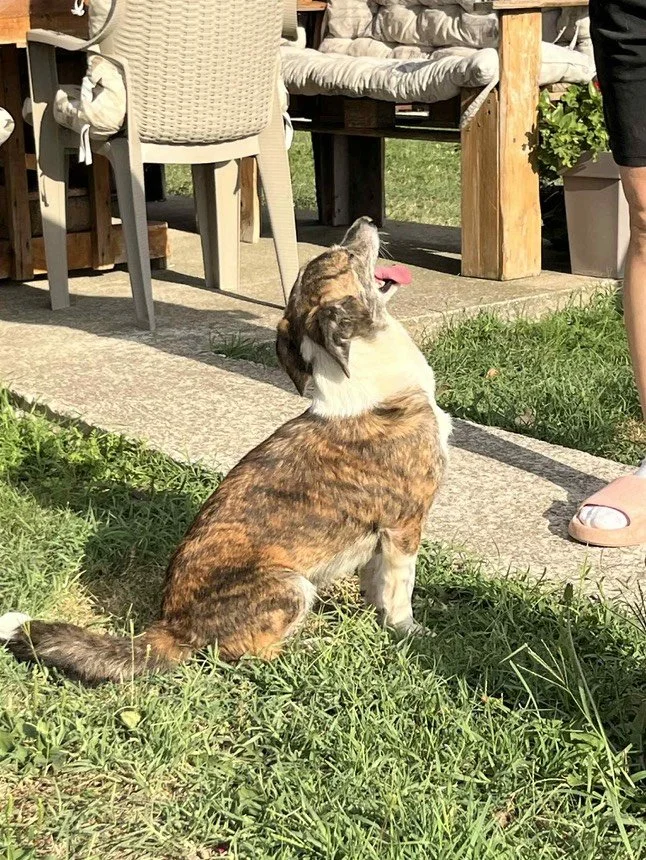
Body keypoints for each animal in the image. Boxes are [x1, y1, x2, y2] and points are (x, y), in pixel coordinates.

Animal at [0, 217, 452, 684]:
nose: (364, 221)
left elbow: (375, 584)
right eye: (344, 256)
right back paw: (306, 649)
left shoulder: (382, 539)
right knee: (243, 654)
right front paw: (409, 633)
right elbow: (399, 593)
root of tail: (171, 627)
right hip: (290, 586)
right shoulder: (404, 527)